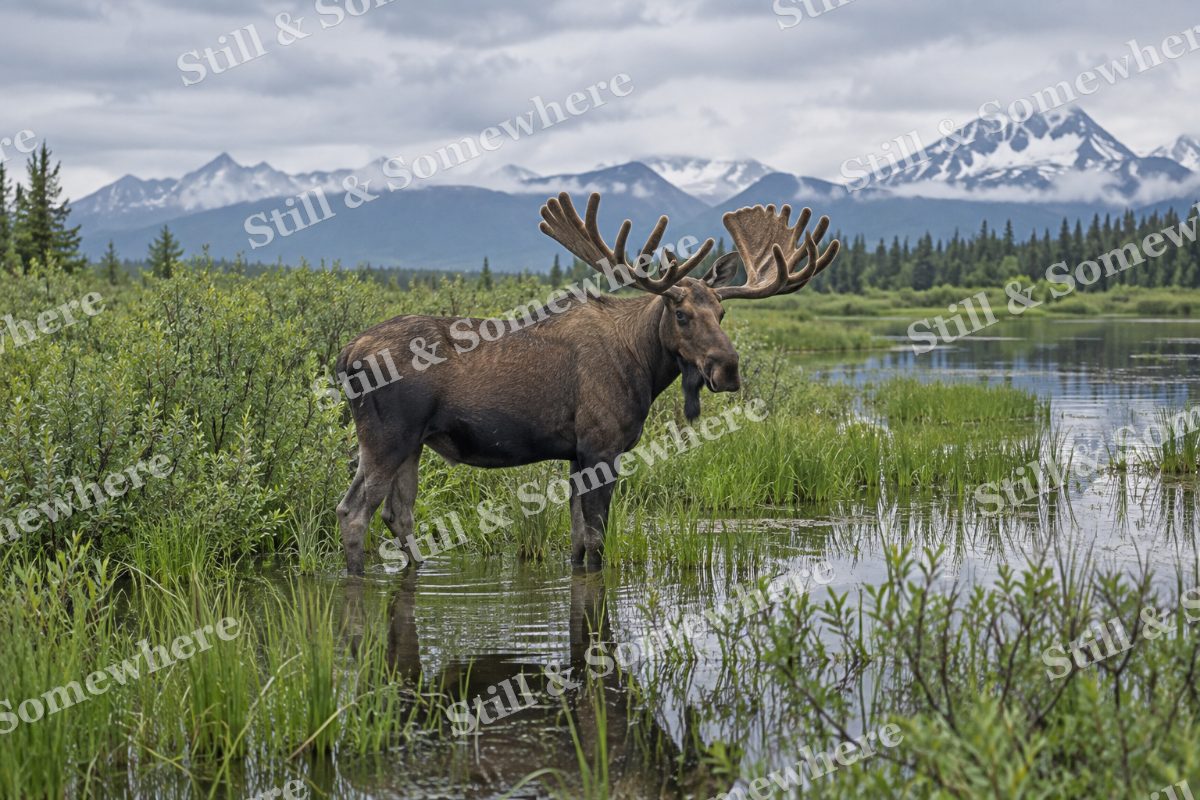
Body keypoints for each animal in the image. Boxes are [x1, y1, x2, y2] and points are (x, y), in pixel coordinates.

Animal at [335, 192, 840, 574]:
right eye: (681, 314)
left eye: (722, 312)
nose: (727, 368)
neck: (642, 365)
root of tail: (346, 354)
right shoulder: (600, 446)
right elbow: (596, 542)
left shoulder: (575, 454)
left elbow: (578, 542)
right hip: (388, 436)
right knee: (354, 511)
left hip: (412, 443)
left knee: (397, 513)